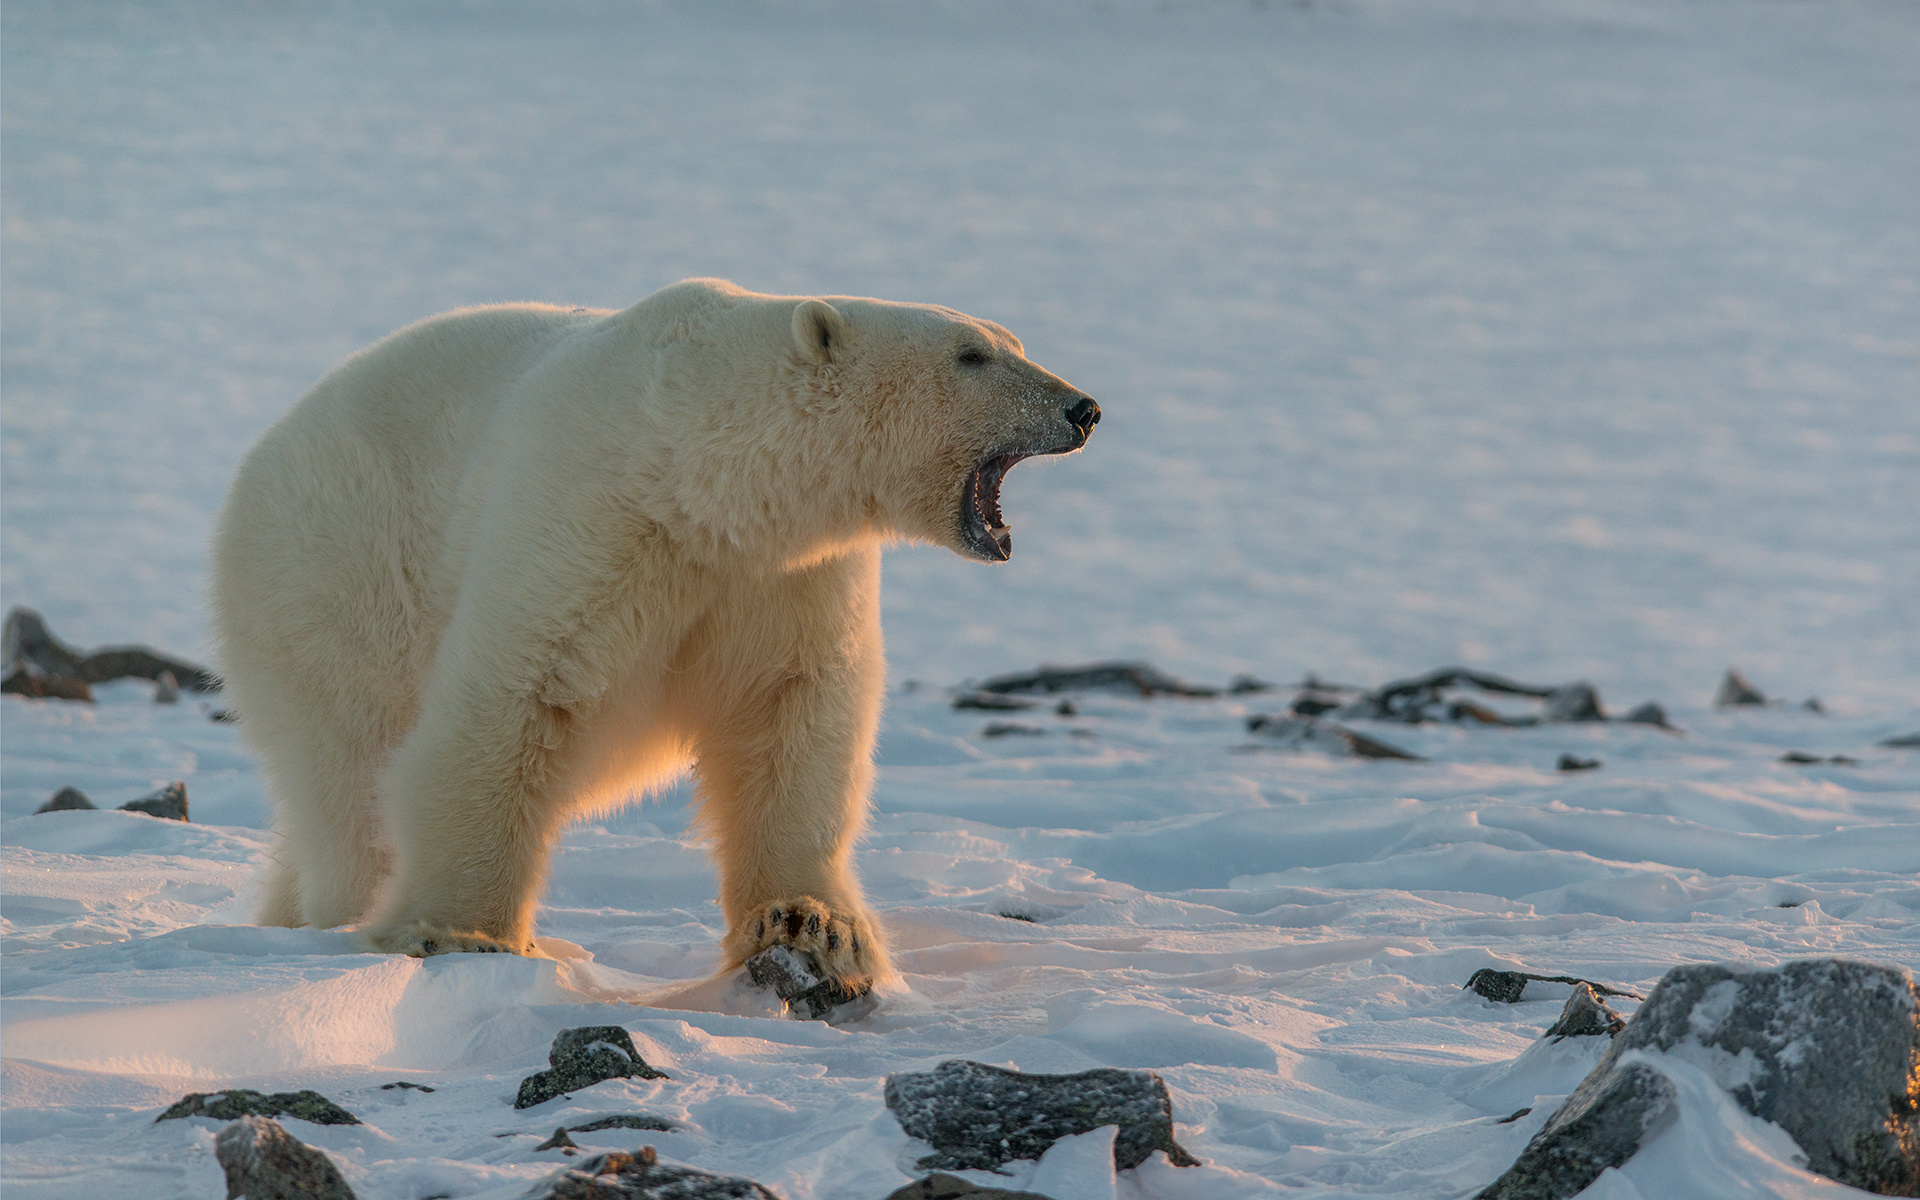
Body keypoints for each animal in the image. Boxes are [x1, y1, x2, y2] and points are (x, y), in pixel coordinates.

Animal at [214, 276, 1098, 990]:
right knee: (351, 772)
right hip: (335, 570)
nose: (1082, 408)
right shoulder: (588, 521)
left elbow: (792, 717)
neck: (697, 476)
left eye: (1013, 342)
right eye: (972, 354)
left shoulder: (785, 574)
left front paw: (812, 925)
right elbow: (513, 700)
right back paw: (342, 912)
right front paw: (456, 930)